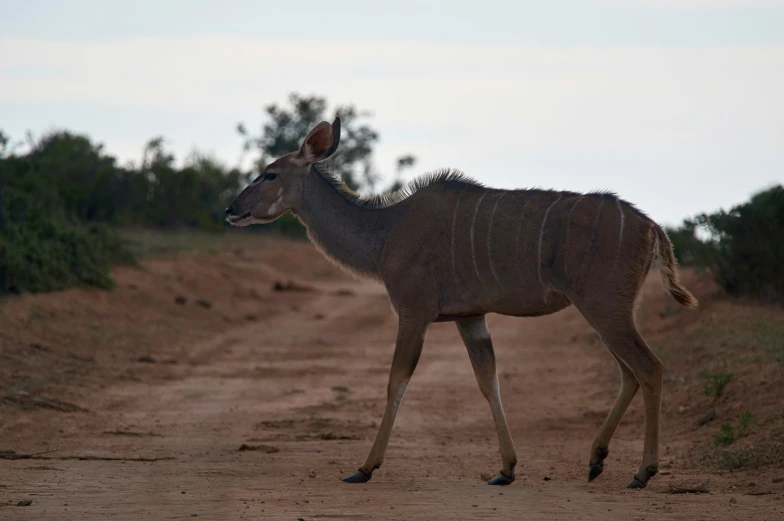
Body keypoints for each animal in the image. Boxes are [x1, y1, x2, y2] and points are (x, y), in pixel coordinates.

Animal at [227, 117, 700, 488]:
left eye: (270, 174)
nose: (232, 210)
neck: (386, 232)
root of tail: (651, 226)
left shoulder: (414, 311)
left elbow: (397, 378)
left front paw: (364, 467)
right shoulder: (470, 316)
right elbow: (487, 379)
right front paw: (505, 470)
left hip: (605, 308)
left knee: (649, 367)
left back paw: (642, 472)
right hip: (605, 312)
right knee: (629, 373)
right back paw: (595, 460)